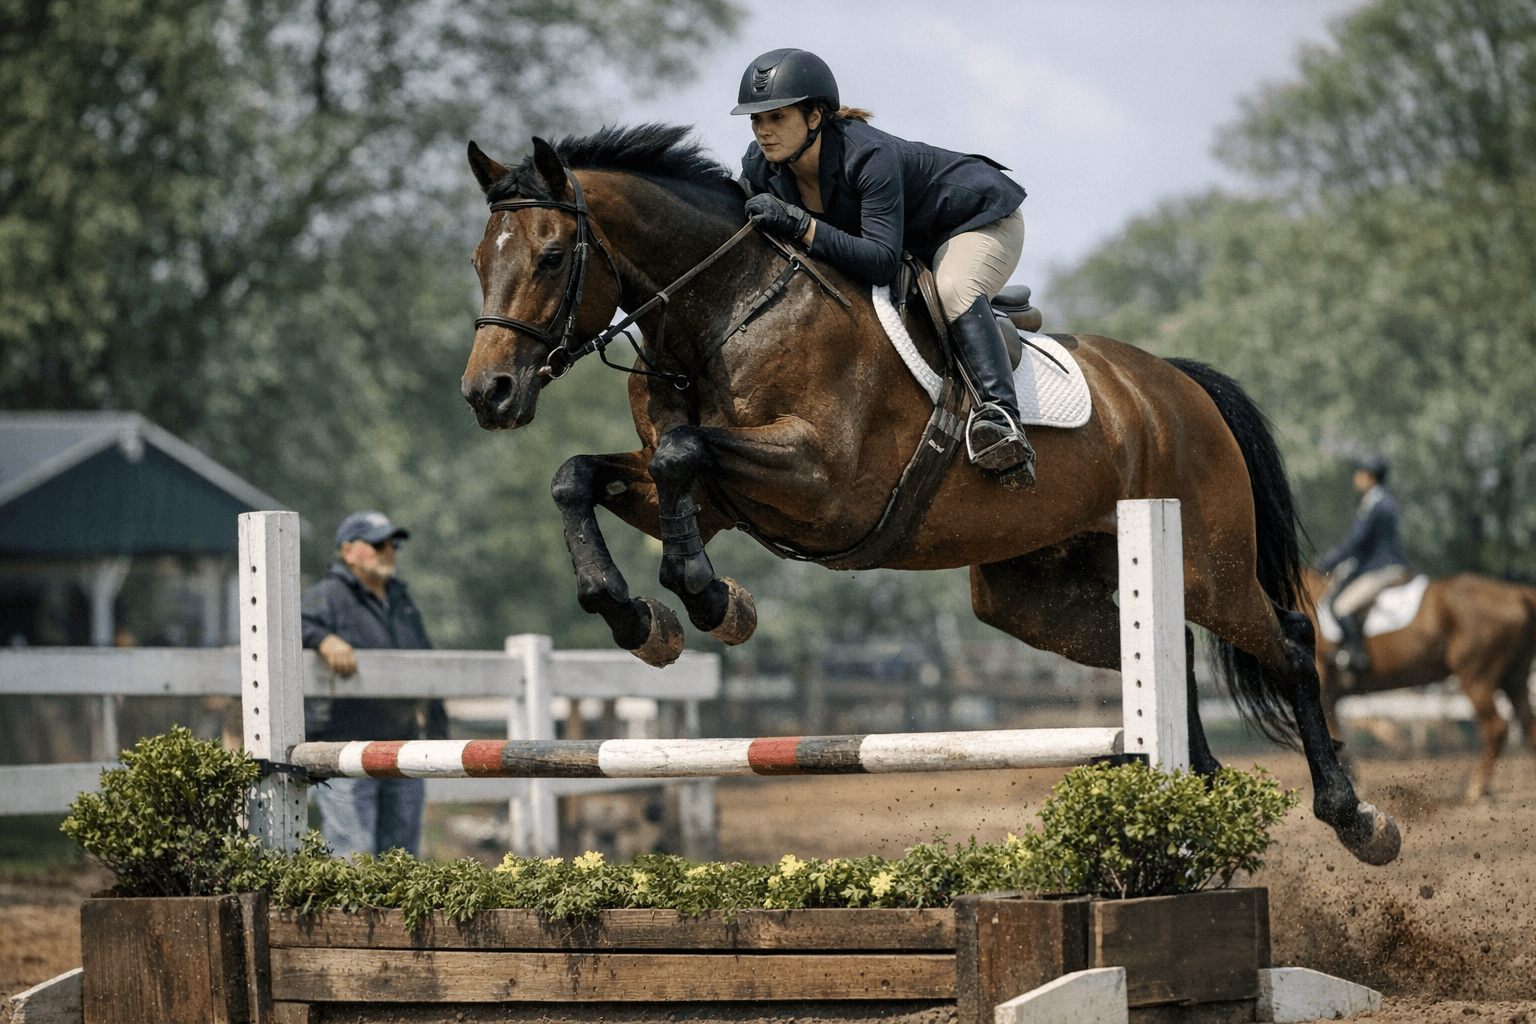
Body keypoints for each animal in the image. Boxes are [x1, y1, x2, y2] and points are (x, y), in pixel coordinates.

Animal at [458, 123, 1400, 865]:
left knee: (1288, 640)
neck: (722, 311)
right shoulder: (718, 495)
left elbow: (685, 455)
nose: (488, 395)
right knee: (1164, 657)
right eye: (477, 261)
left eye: (551, 257)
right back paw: (1193, 799)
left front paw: (710, 599)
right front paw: (639, 619)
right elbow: (584, 475)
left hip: (1207, 561)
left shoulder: (821, 483)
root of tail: (1175, 384)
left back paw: (1356, 820)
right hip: (1032, 599)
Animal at [1304, 567, 1536, 802]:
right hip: (1514, 680)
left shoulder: (1324, 693)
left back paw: (1476, 789)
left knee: (1496, 728)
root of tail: (1518, 593)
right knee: (1529, 728)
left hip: (1478, 677)